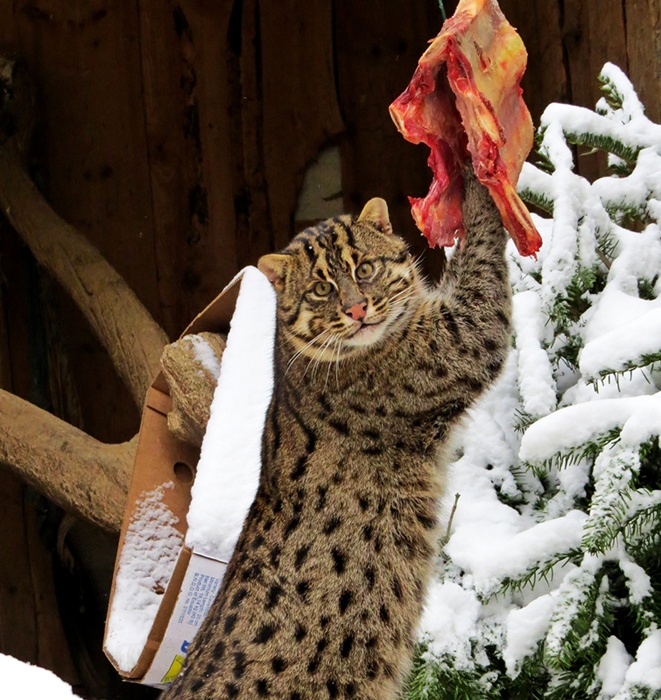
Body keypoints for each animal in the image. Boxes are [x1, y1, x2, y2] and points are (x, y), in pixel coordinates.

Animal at [164, 167, 510, 696]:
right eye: (321, 290)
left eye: (364, 269)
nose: (358, 309)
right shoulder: (462, 339)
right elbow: (483, 263)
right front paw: (475, 174)